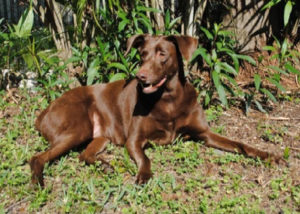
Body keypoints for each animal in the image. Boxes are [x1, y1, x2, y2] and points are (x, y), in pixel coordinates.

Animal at [29, 34, 282, 186]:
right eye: (142, 54)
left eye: (162, 54)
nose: (140, 76)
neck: (169, 98)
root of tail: (44, 111)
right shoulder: (134, 139)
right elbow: (145, 158)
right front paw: (144, 175)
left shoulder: (205, 134)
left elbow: (240, 144)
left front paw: (268, 155)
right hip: (77, 129)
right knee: (38, 157)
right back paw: (38, 182)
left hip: (100, 137)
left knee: (83, 155)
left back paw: (105, 166)